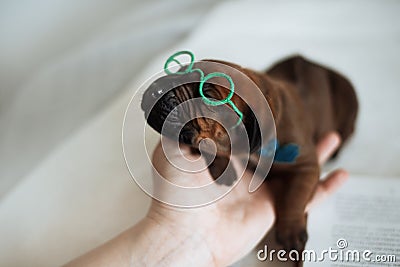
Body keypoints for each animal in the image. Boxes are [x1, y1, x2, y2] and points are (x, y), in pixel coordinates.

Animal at [141, 55, 360, 262]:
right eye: (179, 69)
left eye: (208, 97)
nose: (154, 89)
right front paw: (222, 167)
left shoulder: (305, 165)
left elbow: (295, 195)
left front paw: (290, 231)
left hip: (349, 103)